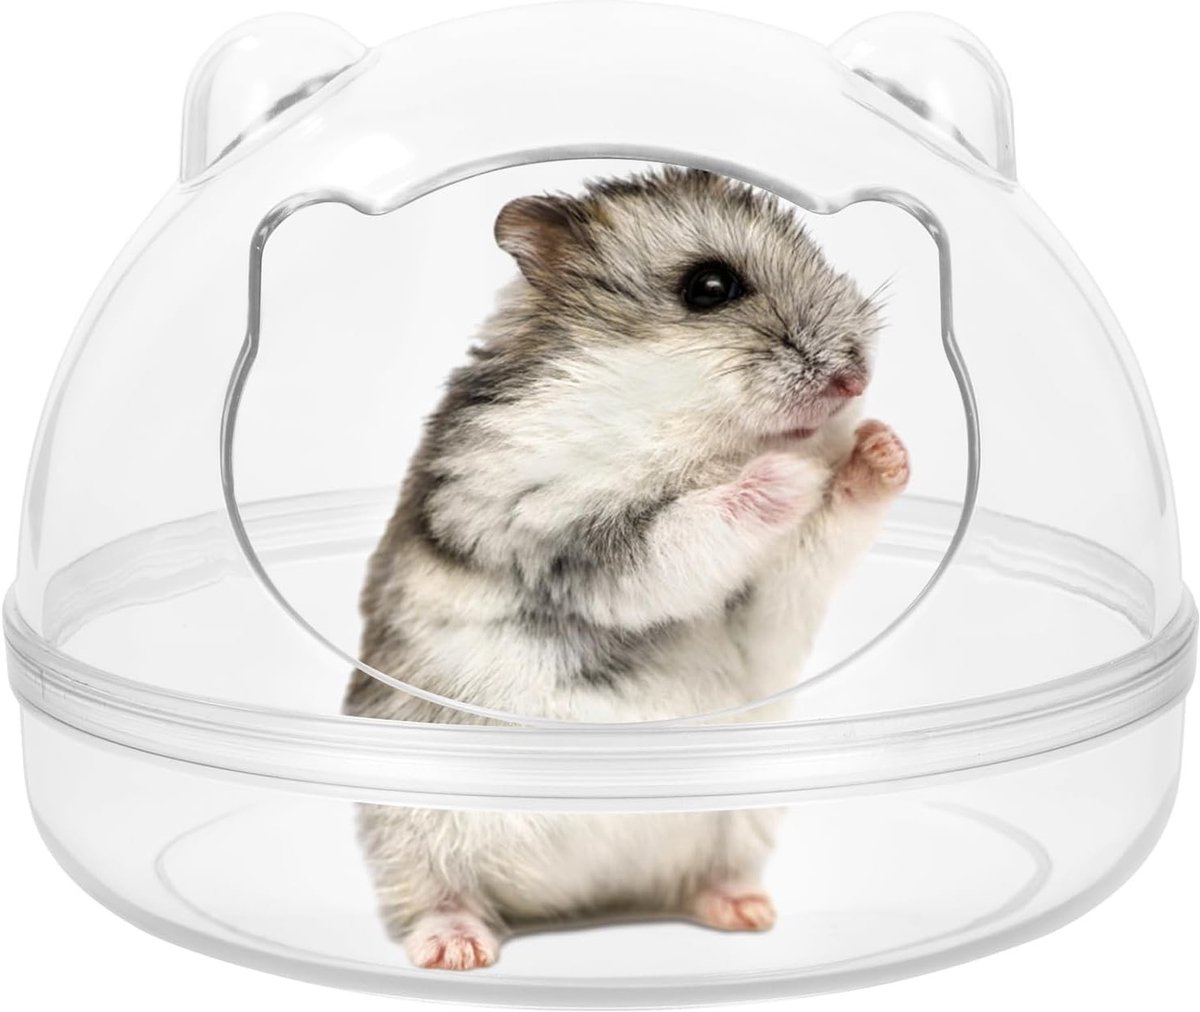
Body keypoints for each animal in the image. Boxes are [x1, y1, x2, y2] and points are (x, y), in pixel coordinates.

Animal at [343, 167, 910, 970]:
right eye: (710, 286)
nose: (857, 380)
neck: (683, 424)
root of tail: (577, 899)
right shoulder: (568, 538)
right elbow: (687, 527)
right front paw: (789, 473)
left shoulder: (765, 605)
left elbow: (815, 542)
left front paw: (882, 447)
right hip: (411, 824)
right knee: (432, 898)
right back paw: (457, 948)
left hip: (740, 816)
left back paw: (747, 911)